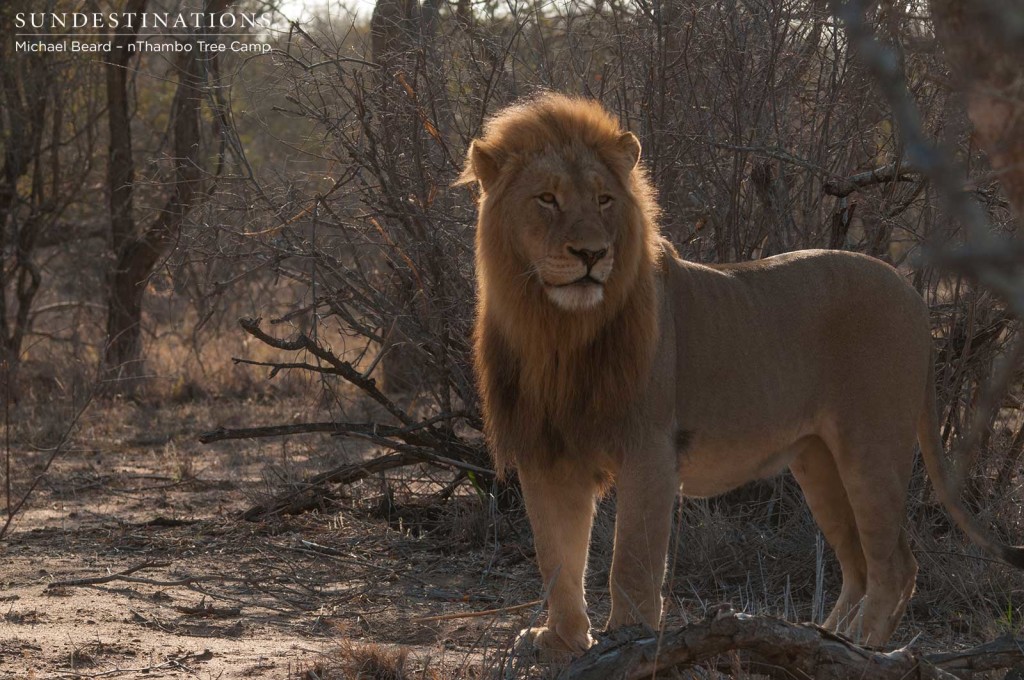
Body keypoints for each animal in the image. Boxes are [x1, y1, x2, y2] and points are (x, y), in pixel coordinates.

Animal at [458, 93, 1024, 655]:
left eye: (603, 200)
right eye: (546, 199)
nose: (592, 254)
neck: (558, 330)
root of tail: (911, 294)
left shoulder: (649, 448)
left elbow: (632, 559)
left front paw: (628, 639)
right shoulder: (547, 453)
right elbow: (556, 556)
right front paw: (561, 639)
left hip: (873, 445)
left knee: (896, 566)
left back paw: (860, 647)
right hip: (819, 461)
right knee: (859, 566)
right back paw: (825, 639)